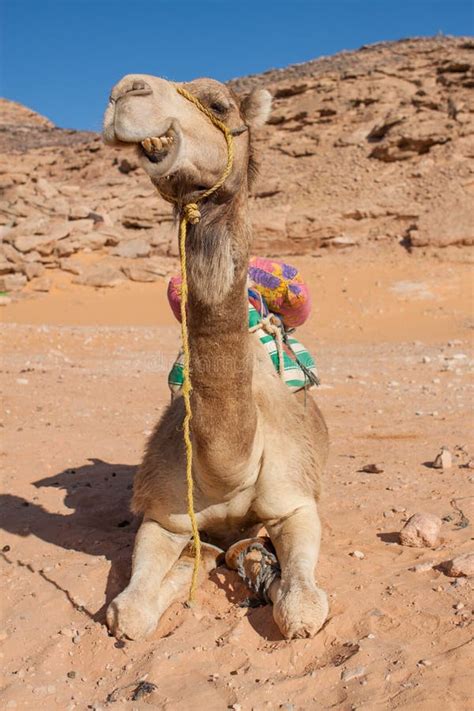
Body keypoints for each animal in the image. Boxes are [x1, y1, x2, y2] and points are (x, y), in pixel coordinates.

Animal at [103, 75, 330, 644]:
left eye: (221, 105)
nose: (126, 90)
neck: (230, 466)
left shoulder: (295, 501)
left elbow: (302, 610)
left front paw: (264, 568)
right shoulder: (162, 515)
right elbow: (129, 613)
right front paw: (206, 558)